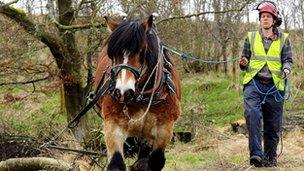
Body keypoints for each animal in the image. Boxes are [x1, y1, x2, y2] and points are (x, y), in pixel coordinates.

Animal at [94, 15, 180, 171]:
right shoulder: (113, 126)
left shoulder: (165, 127)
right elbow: (116, 163)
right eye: (112, 54)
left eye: (142, 51)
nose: (122, 92)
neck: (141, 97)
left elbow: (155, 161)